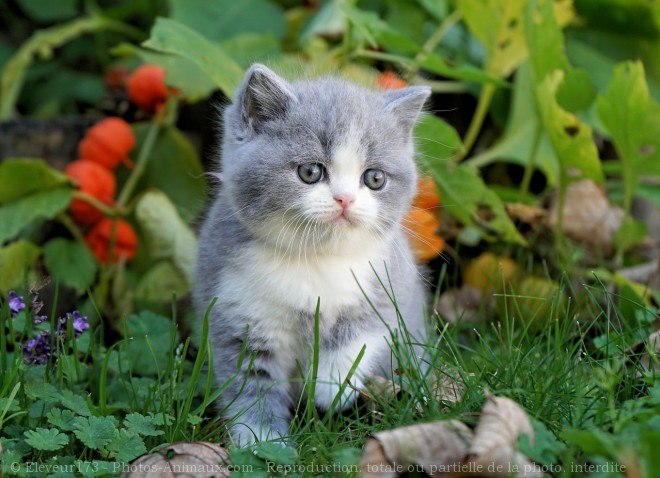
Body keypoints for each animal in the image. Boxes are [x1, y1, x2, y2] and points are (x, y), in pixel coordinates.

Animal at [195, 65, 434, 446]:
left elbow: (364, 331)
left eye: (375, 178)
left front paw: (331, 387)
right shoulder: (235, 311)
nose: (345, 199)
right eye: (310, 172)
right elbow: (249, 384)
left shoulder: (388, 284)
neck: (313, 259)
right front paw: (263, 443)